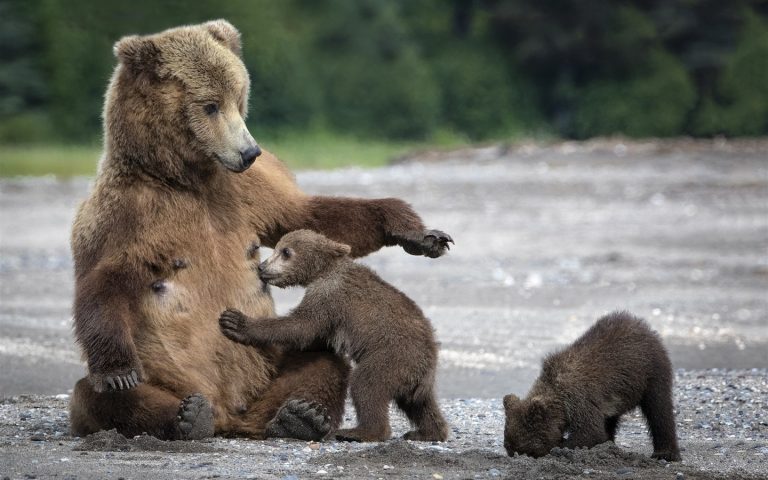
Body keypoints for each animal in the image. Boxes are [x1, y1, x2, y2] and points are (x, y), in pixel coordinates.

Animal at [67, 20, 450, 440]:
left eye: (239, 98)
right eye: (210, 105)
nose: (250, 151)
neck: (188, 179)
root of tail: (231, 417)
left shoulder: (246, 193)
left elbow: (308, 217)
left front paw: (419, 233)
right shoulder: (128, 213)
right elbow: (104, 281)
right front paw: (118, 371)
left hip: (268, 373)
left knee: (322, 361)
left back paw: (300, 416)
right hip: (167, 376)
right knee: (96, 396)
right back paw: (188, 416)